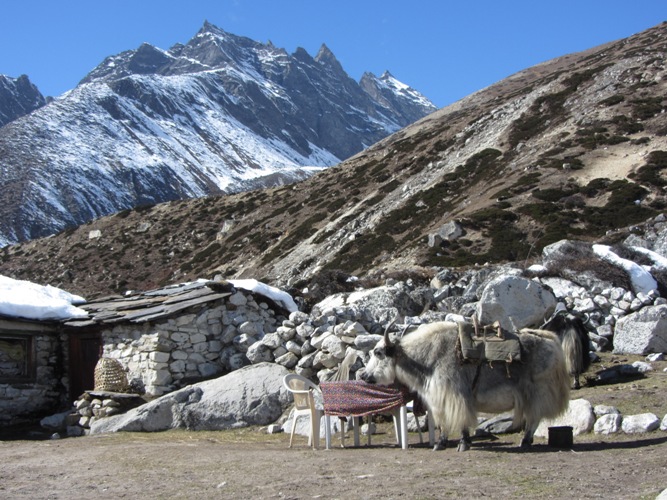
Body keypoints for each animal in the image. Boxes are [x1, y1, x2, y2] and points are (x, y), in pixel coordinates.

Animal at [360, 321, 570, 451]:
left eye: (378, 352)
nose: (364, 376)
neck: (427, 358)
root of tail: (552, 340)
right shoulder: (439, 399)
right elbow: (443, 423)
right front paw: (441, 444)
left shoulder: (455, 395)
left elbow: (460, 421)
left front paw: (462, 444)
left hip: (537, 392)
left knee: (534, 418)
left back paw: (525, 442)